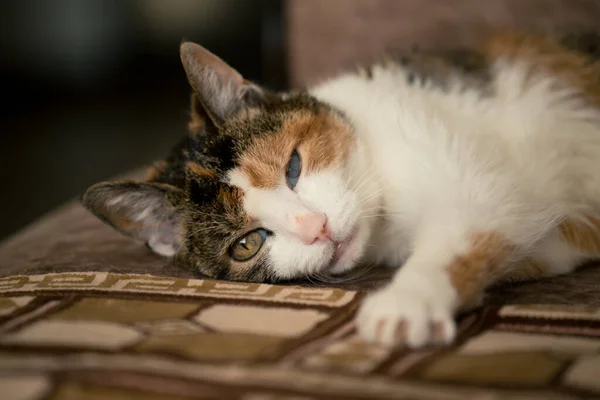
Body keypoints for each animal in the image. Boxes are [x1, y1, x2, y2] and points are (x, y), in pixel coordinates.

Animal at [82, 32, 600, 346]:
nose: (318, 227)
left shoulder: (476, 185)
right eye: (247, 244)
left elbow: (468, 226)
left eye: (293, 167)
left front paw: (407, 301)